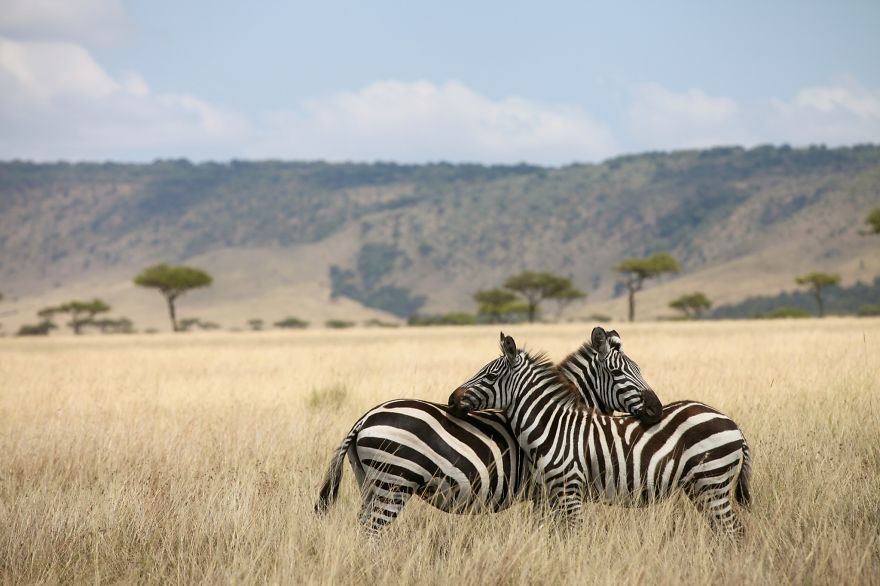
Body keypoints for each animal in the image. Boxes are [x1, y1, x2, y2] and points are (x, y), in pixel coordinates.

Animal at [314, 326, 660, 532]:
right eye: (618, 373)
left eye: (639, 369)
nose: (656, 410)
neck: (558, 416)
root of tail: (366, 417)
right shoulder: (546, 489)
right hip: (394, 482)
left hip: (371, 482)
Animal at [450, 330, 752, 536]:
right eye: (620, 372)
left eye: (489, 376)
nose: (452, 399)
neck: (553, 423)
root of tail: (733, 424)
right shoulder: (551, 493)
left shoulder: (565, 489)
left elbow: (569, 536)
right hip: (701, 487)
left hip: (712, 482)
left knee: (734, 532)